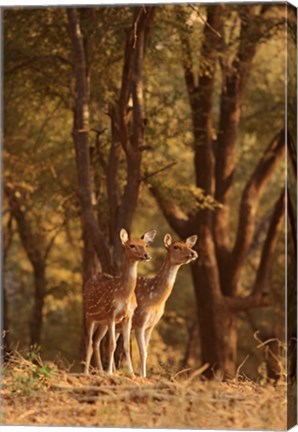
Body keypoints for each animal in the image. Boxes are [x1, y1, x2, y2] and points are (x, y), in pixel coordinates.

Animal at [83, 230, 156, 374]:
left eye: (146, 245)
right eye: (132, 245)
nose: (146, 255)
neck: (124, 295)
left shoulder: (128, 316)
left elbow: (126, 346)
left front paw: (131, 373)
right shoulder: (112, 313)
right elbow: (113, 344)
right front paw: (110, 373)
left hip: (102, 322)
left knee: (96, 341)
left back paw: (100, 371)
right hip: (89, 315)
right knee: (88, 341)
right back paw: (86, 372)